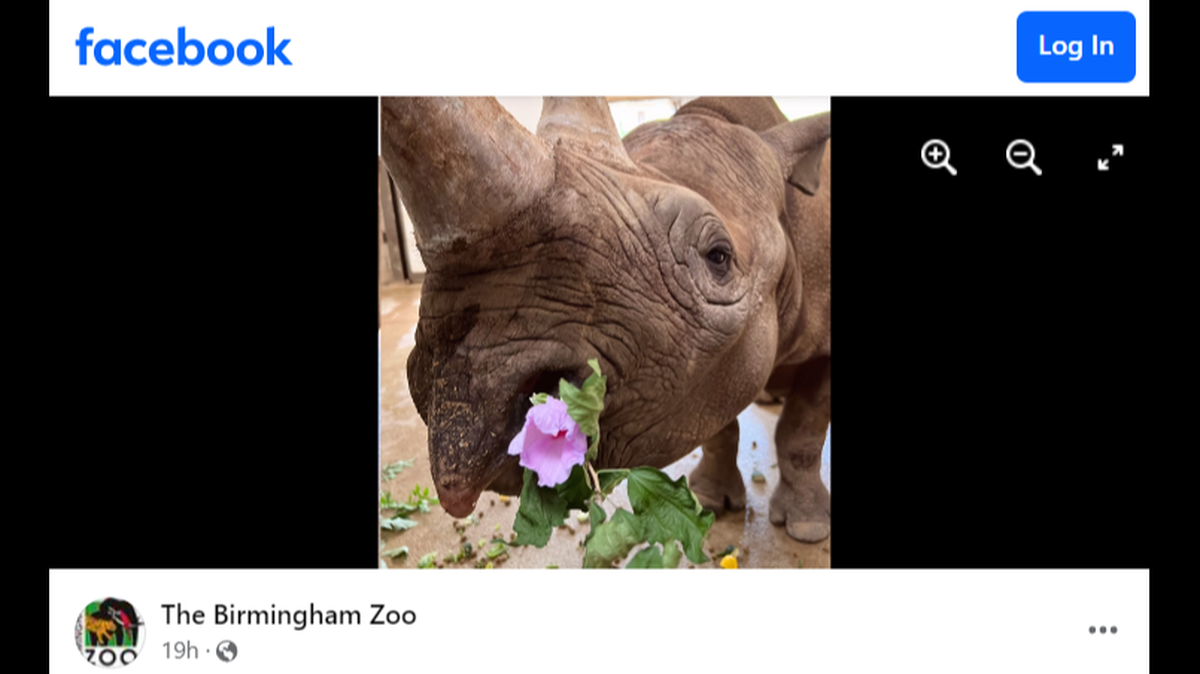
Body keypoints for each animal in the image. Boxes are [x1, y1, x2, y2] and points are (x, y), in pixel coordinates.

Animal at [381, 97, 830, 543]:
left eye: (718, 257)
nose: (458, 409)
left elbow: (802, 430)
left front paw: (808, 529)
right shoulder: (713, 367)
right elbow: (719, 427)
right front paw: (710, 503)